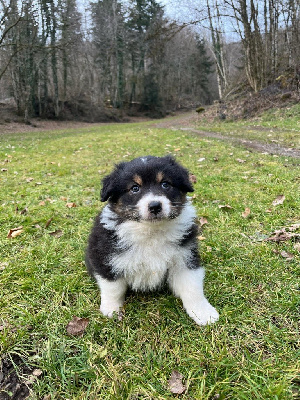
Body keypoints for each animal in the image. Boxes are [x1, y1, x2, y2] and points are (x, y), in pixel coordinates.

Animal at [85, 155, 219, 324]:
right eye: (135, 188)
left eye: (165, 184)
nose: (155, 206)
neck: (151, 231)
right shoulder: (105, 258)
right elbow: (113, 288)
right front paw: (111, 310)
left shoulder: (185, 257)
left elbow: (192, 287)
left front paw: (204, 313)